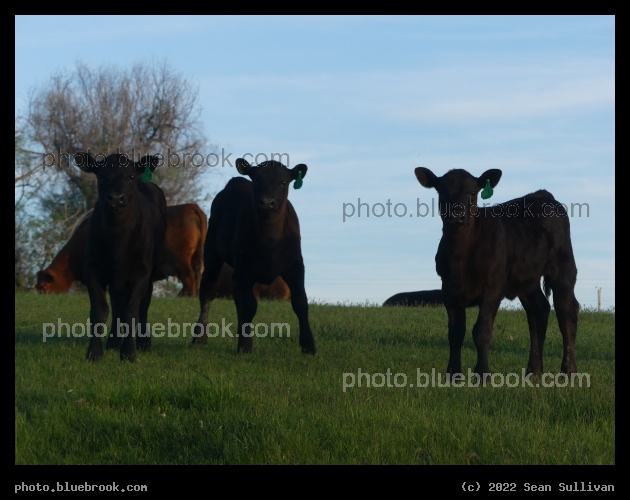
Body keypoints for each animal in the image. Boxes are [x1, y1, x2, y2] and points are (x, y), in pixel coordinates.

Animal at [75, 150, 168, 362]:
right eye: (102, 176)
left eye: (130, 177)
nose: (116, 198)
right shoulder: (92, 269)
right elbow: (100, 311)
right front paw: (94, 353)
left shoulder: (141, 273)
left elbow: (131, 312)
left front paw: (129, 353)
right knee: (117, 305)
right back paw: (113, 342)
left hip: (151, 270)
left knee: (143, 306)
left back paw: (143, 343)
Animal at [194, 158, 316, 354]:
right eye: (257, 180)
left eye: (283, 182)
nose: (267, 202)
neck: (269, 243)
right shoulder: (243, 270)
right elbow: (249, 306)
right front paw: (245, 345)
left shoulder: (296, 266)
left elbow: (301, 303)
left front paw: (309, 345)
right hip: (212, 252)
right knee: (208, 290)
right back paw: (199, 337)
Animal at [418, 166, 580, 380]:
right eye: (442, 192)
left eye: (472, 192)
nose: (457, 214)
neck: (460, 257)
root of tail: (542, 195)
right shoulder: (449, 290)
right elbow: (455, 333)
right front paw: (453, 375)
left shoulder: (492, 289)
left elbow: (482, 331)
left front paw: (482, 375)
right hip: (526, 279)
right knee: (538, 312)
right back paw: (533, 372)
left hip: (563, 267)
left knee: (566, 311)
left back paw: (568, 371)